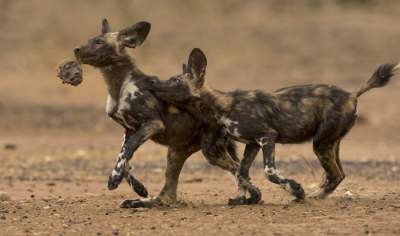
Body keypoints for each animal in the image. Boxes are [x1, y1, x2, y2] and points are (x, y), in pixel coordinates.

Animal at [142, 48, 398, 205]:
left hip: (320, 144)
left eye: (174, 81)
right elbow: (241, 173)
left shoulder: (267, 137)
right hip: (329, 144)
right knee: (338, 174)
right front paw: (244, 198)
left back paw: (311, 195)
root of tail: (352, 94)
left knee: (335, 174)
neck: (220, 106)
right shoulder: (252, 144)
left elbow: (269, 171)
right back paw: (317, 194)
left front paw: (295, 189)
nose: (151, 82)